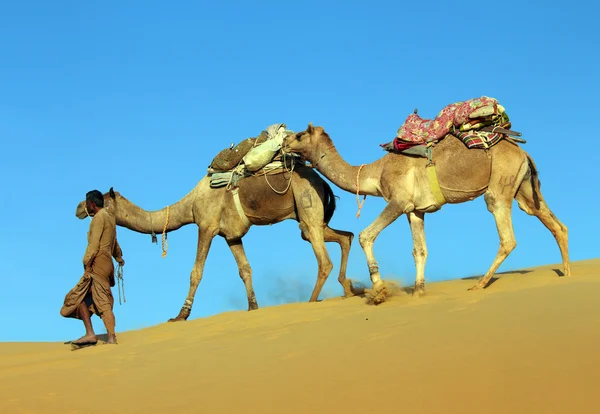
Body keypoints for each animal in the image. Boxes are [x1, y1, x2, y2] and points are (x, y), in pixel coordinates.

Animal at [75, 167, 356, 322]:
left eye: (98, 200)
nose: (78, 208)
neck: (190, 204)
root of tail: (323, 182)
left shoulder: (206, 227)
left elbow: (196, 272)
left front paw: (181, 315)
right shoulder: (231, 235)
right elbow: (245, 269)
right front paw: (253, 307)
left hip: (307, 204)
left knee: (323, 259)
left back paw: (312, 300)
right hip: (310, 216)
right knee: (345, 236)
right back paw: (348, 288)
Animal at [284, 121, 568, 302]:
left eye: (299, 134)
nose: (284, 141)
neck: (375, 172)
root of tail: (523, 151)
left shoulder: (398, 201)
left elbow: (366, 235)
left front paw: (379, 289)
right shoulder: (415, 211)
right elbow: (419, 250)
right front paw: (419, 291)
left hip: (500, 183)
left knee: (507, 236)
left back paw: (479, 284)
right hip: (524, 188)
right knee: (554, 223)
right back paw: (566, 272)